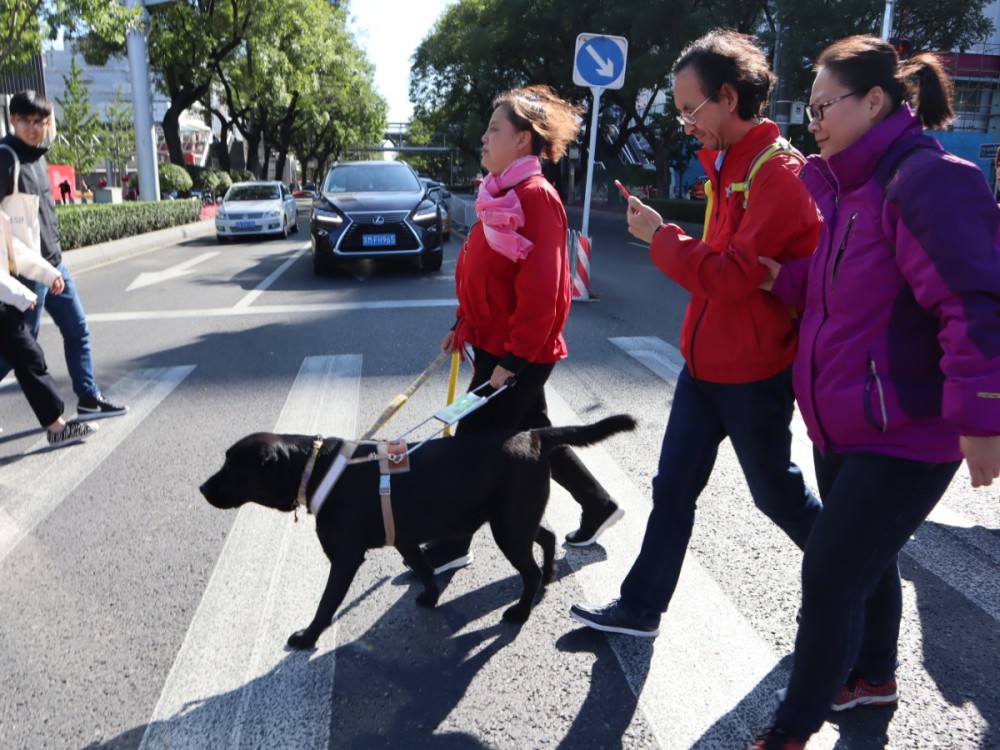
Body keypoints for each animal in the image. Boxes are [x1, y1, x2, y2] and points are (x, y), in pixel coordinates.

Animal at [200, 414, 636, 648]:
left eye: (232, 467)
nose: (203, 488)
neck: (317, 467)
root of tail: (534, 434)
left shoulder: (345, 557)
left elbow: (326, 604)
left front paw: (307, 637)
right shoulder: (406, 539)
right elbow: (424, 568)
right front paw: (430, 597)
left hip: (508, 528)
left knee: (527, 569)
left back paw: (521, 611)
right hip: (515, 519)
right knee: (545, 537)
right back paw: (548, 576)